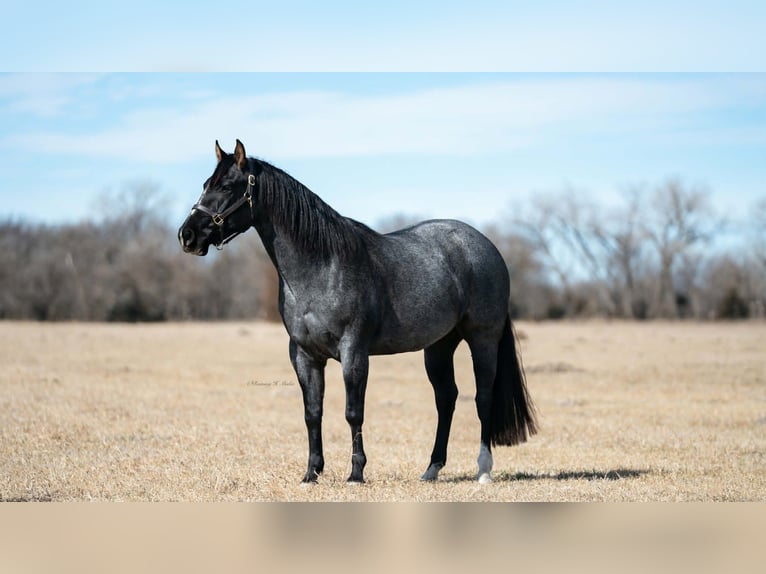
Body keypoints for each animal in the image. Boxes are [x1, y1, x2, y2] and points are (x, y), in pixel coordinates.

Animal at [178, 140, 537, 484]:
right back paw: (431, 469)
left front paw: (356, 473)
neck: (323, 267)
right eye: (206, 184)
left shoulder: (354, 351)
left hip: (483, 339)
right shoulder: (304, 354)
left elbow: (353, 412)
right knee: (446, 399)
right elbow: (312, 413)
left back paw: (483, 470)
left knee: (483, 397)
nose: (187, 235)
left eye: (227, 186)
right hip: (438, 346)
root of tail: (485, 246)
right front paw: (311, 473)